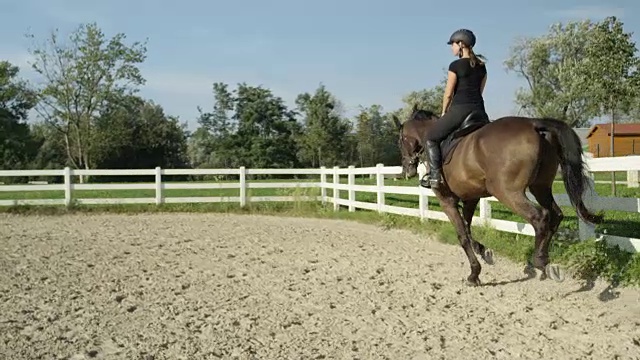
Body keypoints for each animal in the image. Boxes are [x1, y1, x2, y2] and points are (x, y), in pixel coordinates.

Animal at [390, 105, 604, 286]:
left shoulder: (447, 201)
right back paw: (544, 259)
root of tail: (533, 124)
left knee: (540, 217)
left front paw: (474, 274)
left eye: (400, 141)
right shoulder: (471, 198)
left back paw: (539, 261)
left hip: (507, 192)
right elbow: (468, 228)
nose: (406, 170)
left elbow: (462, 235)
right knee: (556, 215)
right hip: (540, 187)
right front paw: (483, 251)